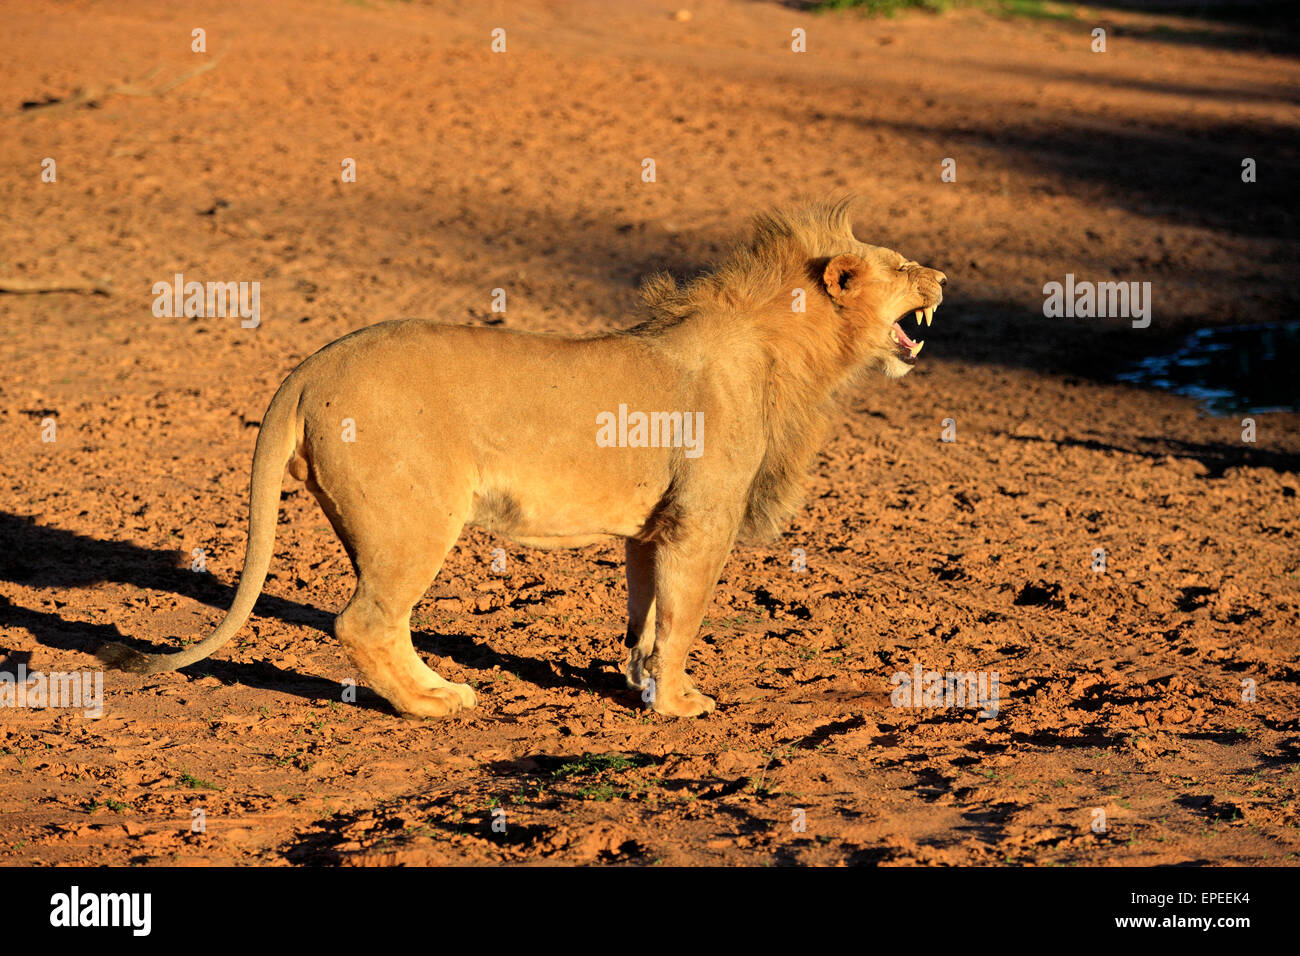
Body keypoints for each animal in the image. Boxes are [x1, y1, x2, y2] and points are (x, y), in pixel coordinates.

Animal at [98, 198, 947, 719]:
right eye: (905, 265)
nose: (941, 276)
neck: (796, 354)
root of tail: (309, 367)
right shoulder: (700, 520)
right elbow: (683, 619)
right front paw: (680, 705)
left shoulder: (652, 529)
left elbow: (645, 618)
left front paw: (638, 686)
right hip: (415, 518)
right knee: (363, 622)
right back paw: (432, 705)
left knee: (385, 622)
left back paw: (441, 688)